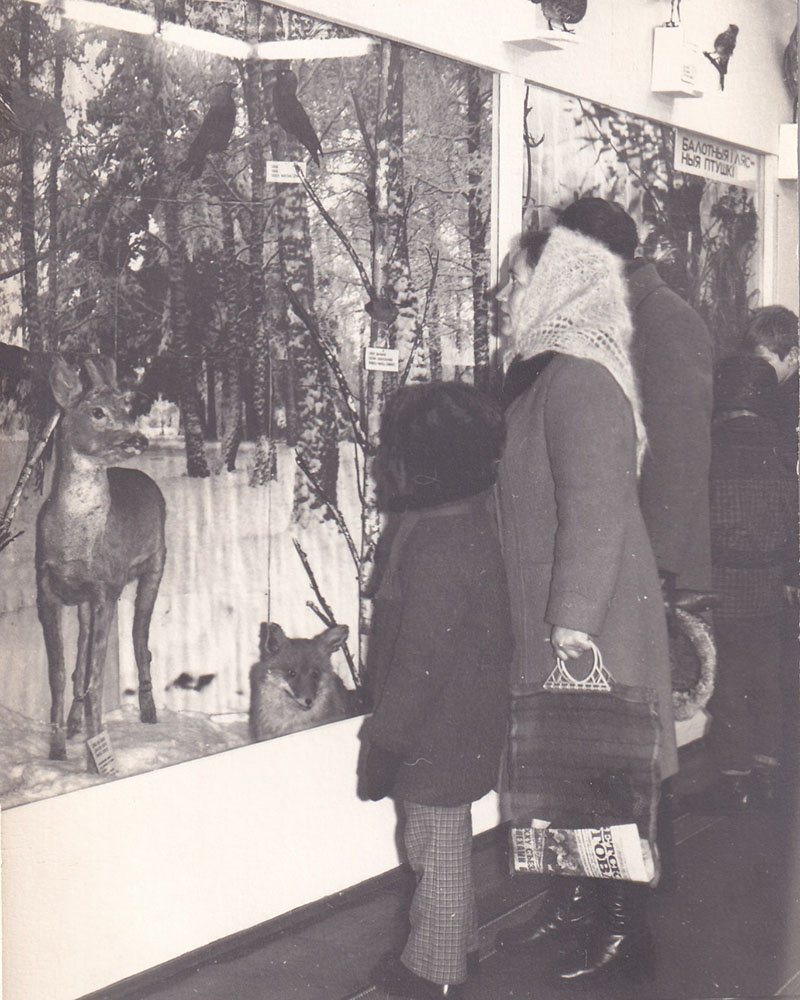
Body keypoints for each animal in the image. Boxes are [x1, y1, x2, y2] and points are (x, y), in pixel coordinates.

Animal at [35, 355, 167, 768]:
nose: (139, 438)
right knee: (82, 656)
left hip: (156, 563)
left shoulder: (106, 588)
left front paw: (97, 762)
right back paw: (76, 725)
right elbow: (60, 674)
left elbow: (96, 677)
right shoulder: (48, 589)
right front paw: (58, 750)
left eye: (127, 408)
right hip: (84, 603)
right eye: (97, 412)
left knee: (140, 638)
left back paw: (149, 711)